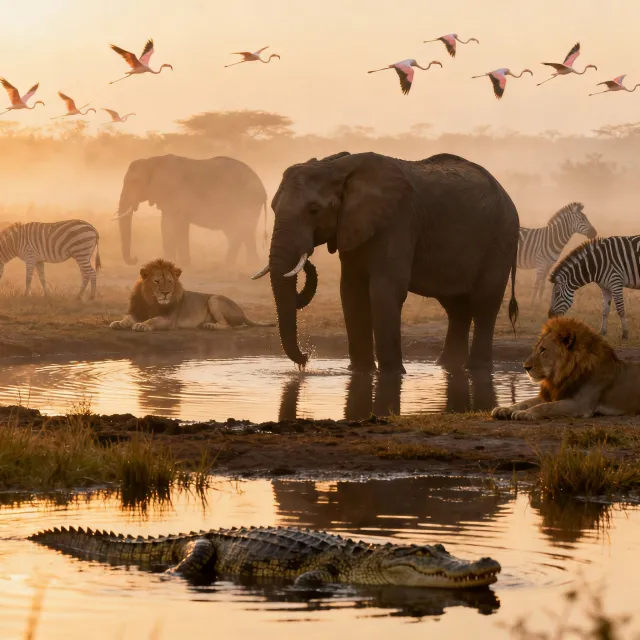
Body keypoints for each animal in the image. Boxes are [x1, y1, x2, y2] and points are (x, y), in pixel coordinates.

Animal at [110, 258, 275, 332]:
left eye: (170, 281)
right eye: (157, 281)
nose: (166, 293)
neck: (151, 301)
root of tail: (243, 312)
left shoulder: (169, 320)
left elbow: (153, 319)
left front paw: (142, 325)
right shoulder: (137, 312)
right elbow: (127, 318)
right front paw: (118, 323)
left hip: (214, 299)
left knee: (228, 325)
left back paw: (209, 325)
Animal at [114, 154, 268, 267]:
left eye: (134, 182)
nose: (135, 258)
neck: (152, 160)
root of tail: (263, 188)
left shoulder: (175, 192)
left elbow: (173, 224)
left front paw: (177, 263)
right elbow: (171, 224)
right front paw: (177, 263)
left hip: (247, 201)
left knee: (241, 230)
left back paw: (230, 264)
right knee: (243, 232)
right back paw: (249, 265)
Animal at [253, 151, 519, 374]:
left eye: (314, 209)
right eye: (274, 207)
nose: (306, 359)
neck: (338, 167)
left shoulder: (398, 221)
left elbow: (384, 290)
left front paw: (391, 374)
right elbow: (351, 292)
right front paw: (360, 371)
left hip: (501, 238)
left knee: (485, 304)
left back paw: (476, 369)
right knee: (456, 307)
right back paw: (446, 366)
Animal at [491, 316, 640, 420]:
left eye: (543, 350)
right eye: (536, 349)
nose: (525, 367)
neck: (563, 375)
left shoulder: (581, 405)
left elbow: (547, 406)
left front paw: (524, 413)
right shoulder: (555, 393)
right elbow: (526, 401)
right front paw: (504, 409)